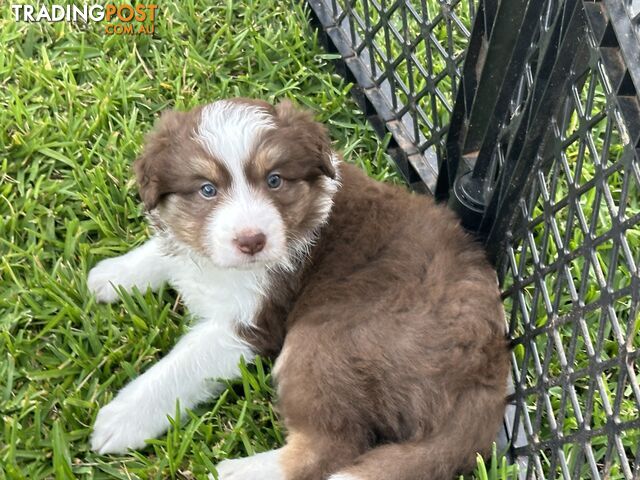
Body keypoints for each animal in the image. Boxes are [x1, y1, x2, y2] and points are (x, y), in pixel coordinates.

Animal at [89, 98, 510, 480]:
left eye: (274, 180)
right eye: (207, 190)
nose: (252, 241)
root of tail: (488, 377)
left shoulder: (250, 323)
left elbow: (181, 366)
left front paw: (122, 418)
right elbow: (166, 253)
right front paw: (112, 276)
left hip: (327, 342)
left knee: (331, 446)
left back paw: (239, 472)